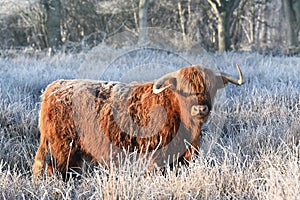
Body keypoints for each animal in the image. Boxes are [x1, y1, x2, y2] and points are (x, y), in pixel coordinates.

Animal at [32, 64, 244, 178]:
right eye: (184, 88)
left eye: (210, 86)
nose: (200, 109)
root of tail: (55, 87)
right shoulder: (157, 153)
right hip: (62, 147)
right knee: (56, 169)